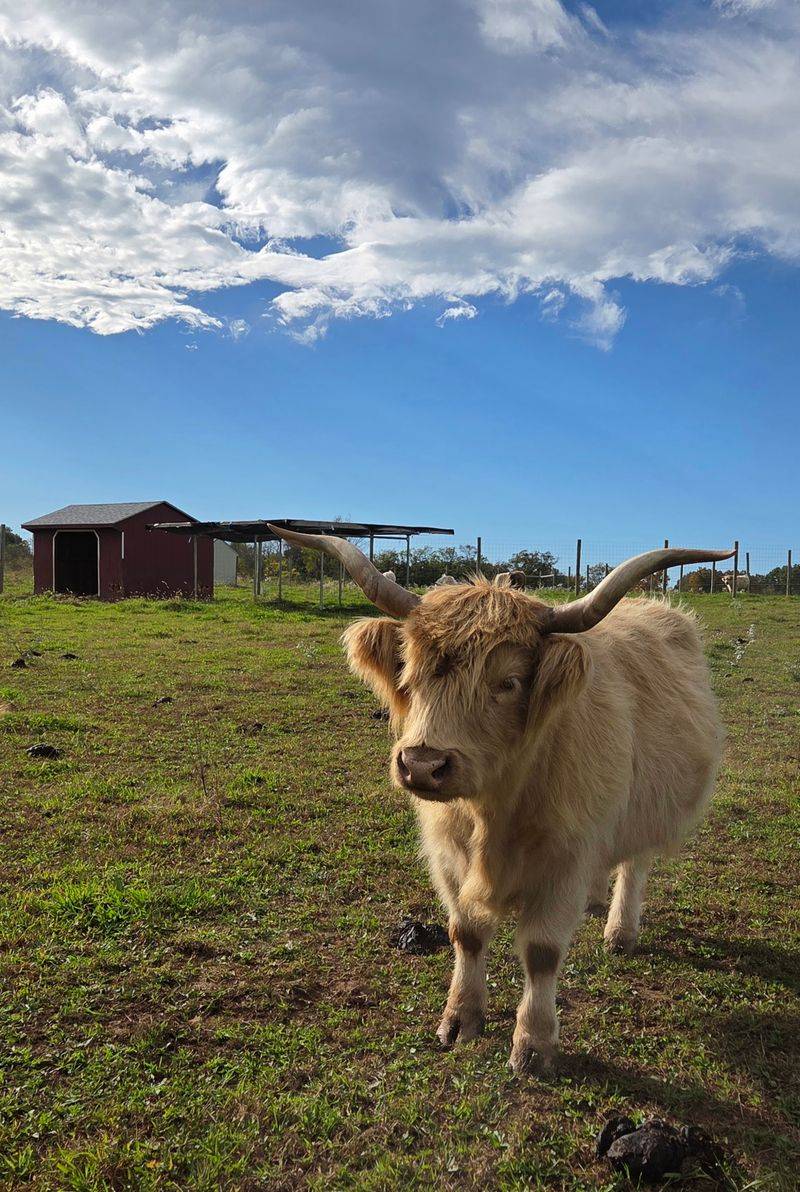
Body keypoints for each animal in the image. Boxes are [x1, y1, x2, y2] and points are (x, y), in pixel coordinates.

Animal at [268, 525, 733, 1075]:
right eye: (409, 672)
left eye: (508, 682)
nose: (422, 764)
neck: (494, 810)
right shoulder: (449, 852)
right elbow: (465, 933)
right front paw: (459, 1019)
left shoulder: (564, 858)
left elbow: (542, 952)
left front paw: (533, 1044)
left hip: (646, 809)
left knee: (633, 864)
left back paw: (620, 929)